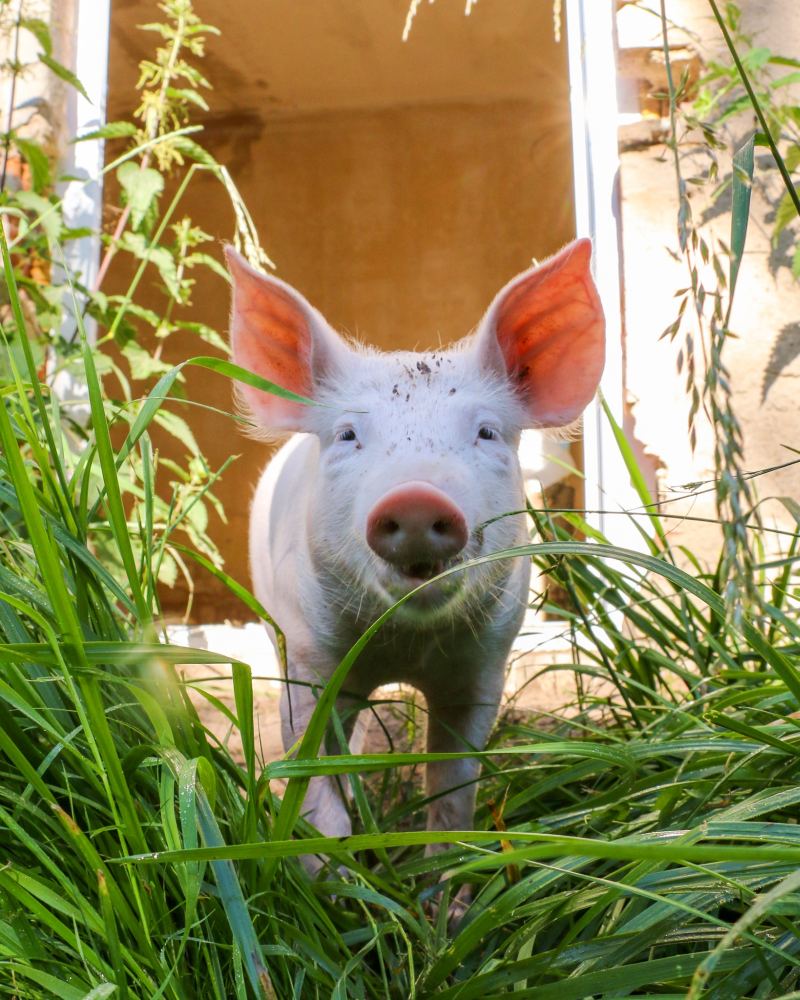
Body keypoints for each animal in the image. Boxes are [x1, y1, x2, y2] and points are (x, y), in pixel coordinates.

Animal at [225, 240, 605, 867]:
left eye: (486, 433)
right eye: (349, 435)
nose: (418, 498)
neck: (405, 647)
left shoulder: (483, 665)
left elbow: (453, 789)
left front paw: (442, 888)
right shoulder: (308, 656)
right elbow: (310, 771)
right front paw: (335, 879)